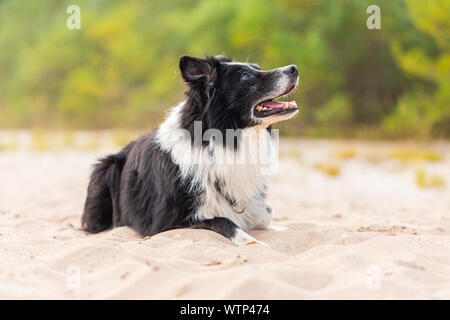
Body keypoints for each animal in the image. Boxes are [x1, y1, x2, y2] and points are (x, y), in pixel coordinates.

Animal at [81, 55, 298, 245]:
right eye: (245, 76)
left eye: (258, 68)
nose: (294, 68)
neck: (220, 143)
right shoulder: (164, 225)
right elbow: (222, 221)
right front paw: (250, 241)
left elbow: (265, 214)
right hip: (105, 170)